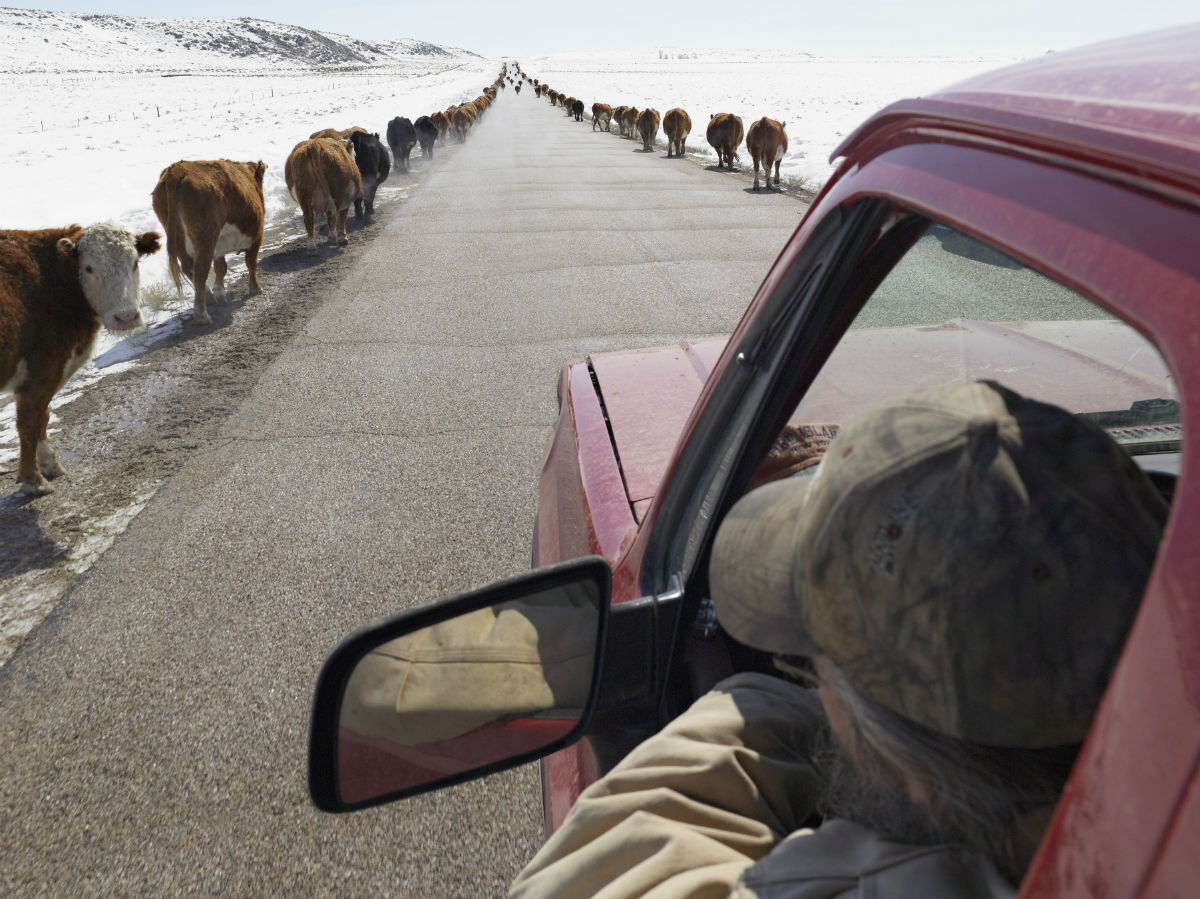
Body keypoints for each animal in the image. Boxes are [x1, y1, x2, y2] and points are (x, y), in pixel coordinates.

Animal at [0, 223, 162, 492]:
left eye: (135, 262)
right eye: (88, 268)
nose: (126, 317)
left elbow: (43, 417)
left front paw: (50, 465)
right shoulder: (44, 369)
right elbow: (30, 420)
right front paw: (34, 480)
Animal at [150, 157, 265, 326]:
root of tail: (176, 170)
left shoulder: (219, 247)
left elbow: (221, 267)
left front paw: (220, 292)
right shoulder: (257, 236)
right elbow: (251, 262)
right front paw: (255, 288)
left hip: (178, 237)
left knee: (188, 267)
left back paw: (209, 298)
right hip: (205, 237)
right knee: (200, 271)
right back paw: (202, 316)